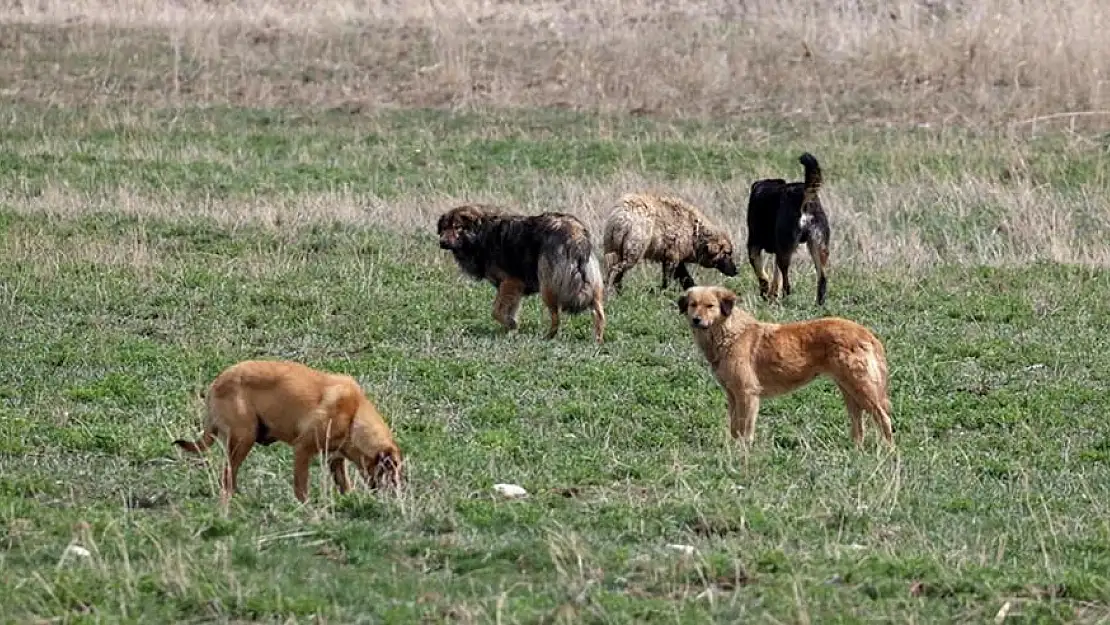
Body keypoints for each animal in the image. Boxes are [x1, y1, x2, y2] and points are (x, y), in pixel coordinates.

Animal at [177, 359, 408, 506]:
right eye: (392, 471)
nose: (398, 496)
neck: (354, 415)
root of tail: (215, 384)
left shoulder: (335, 459)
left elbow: (344, 485)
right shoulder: (303, 450)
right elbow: (301, 486)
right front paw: (305, 509)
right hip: (244, 439)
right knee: (227, 477)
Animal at [435, 204, 608, 341]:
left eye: (457, 227)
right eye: (444, 228)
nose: (442, 242)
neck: (481, 234)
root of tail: (576, 232)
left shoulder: (510, 282)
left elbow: (496, 311)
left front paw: (512, 325)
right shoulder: (513, 289)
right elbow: (508, 311)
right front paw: (509, 332)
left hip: (548, 286)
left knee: (556, 317)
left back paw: (548, 337)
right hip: (591, 285)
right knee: (598, 313)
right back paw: (597, 340)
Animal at [608, 192, 737, 295]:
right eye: (728, 253)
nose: (736, 271)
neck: (695, 234)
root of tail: (621, 216)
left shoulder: (675, 256)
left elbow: (686, 278)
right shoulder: (673, 256)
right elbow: (670, 277)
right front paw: (667, 292)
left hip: (612, 246)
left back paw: (617, 291)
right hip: (634, 248)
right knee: (616, 269)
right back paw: (613, 292)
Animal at [674, 286, 892, 448]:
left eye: (710, 306)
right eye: (693, 305)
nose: (696, 320)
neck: (728, 333)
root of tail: (866, 333)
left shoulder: (747, 393)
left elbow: (745, 428)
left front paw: (743, 452)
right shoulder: (733, 394)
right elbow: (734, 427)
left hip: (862, 388)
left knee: (884, 418)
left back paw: (888, 451)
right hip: (849, 391)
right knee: (859, 426)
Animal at [745, 153, 834, 306]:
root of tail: (804, 196)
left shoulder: (753, 245)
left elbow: (762, 274)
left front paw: (765, 293)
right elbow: (775, 278)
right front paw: (771, 296)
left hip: (785, 251)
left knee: (787, 282)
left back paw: (786, 300)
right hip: (818, 247)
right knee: (822, 279)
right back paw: (818, 304)